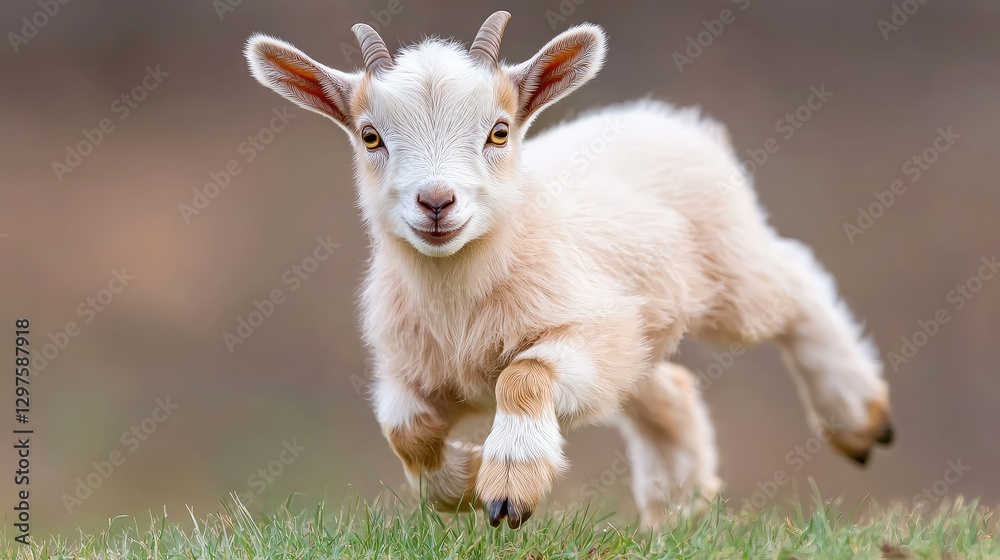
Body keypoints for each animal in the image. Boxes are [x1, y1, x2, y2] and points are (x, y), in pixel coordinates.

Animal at [244, 11, 893, 529]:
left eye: (499, 131)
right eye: (370, 135)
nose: (436, 203)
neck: (461, 303)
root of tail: (671, 117)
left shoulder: (585, 328)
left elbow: (523, 375)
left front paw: (508, 484)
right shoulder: (406, 372)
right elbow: (406, 434)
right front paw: (465, 479)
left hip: (727, 268)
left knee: (795, 283)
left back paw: (857, 416)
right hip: (639, 332)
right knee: (668, 391)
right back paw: (677, 513)